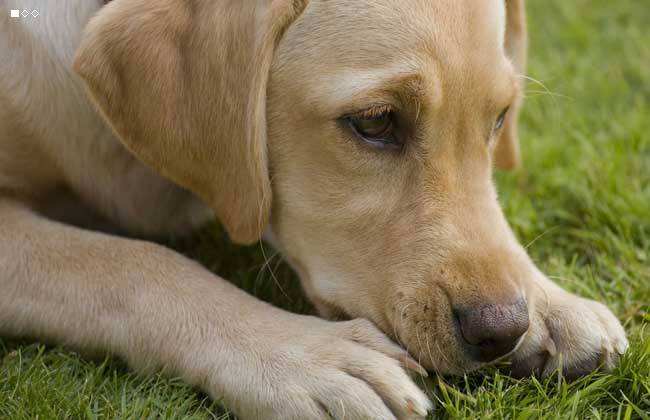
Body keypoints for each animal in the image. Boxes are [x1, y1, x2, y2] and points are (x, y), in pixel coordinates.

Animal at [0, 0, 628, 418]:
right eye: (375, 121)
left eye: (499, 119)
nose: (502, 329)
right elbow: (132, 262)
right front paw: (299, 357)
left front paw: (551, 301)